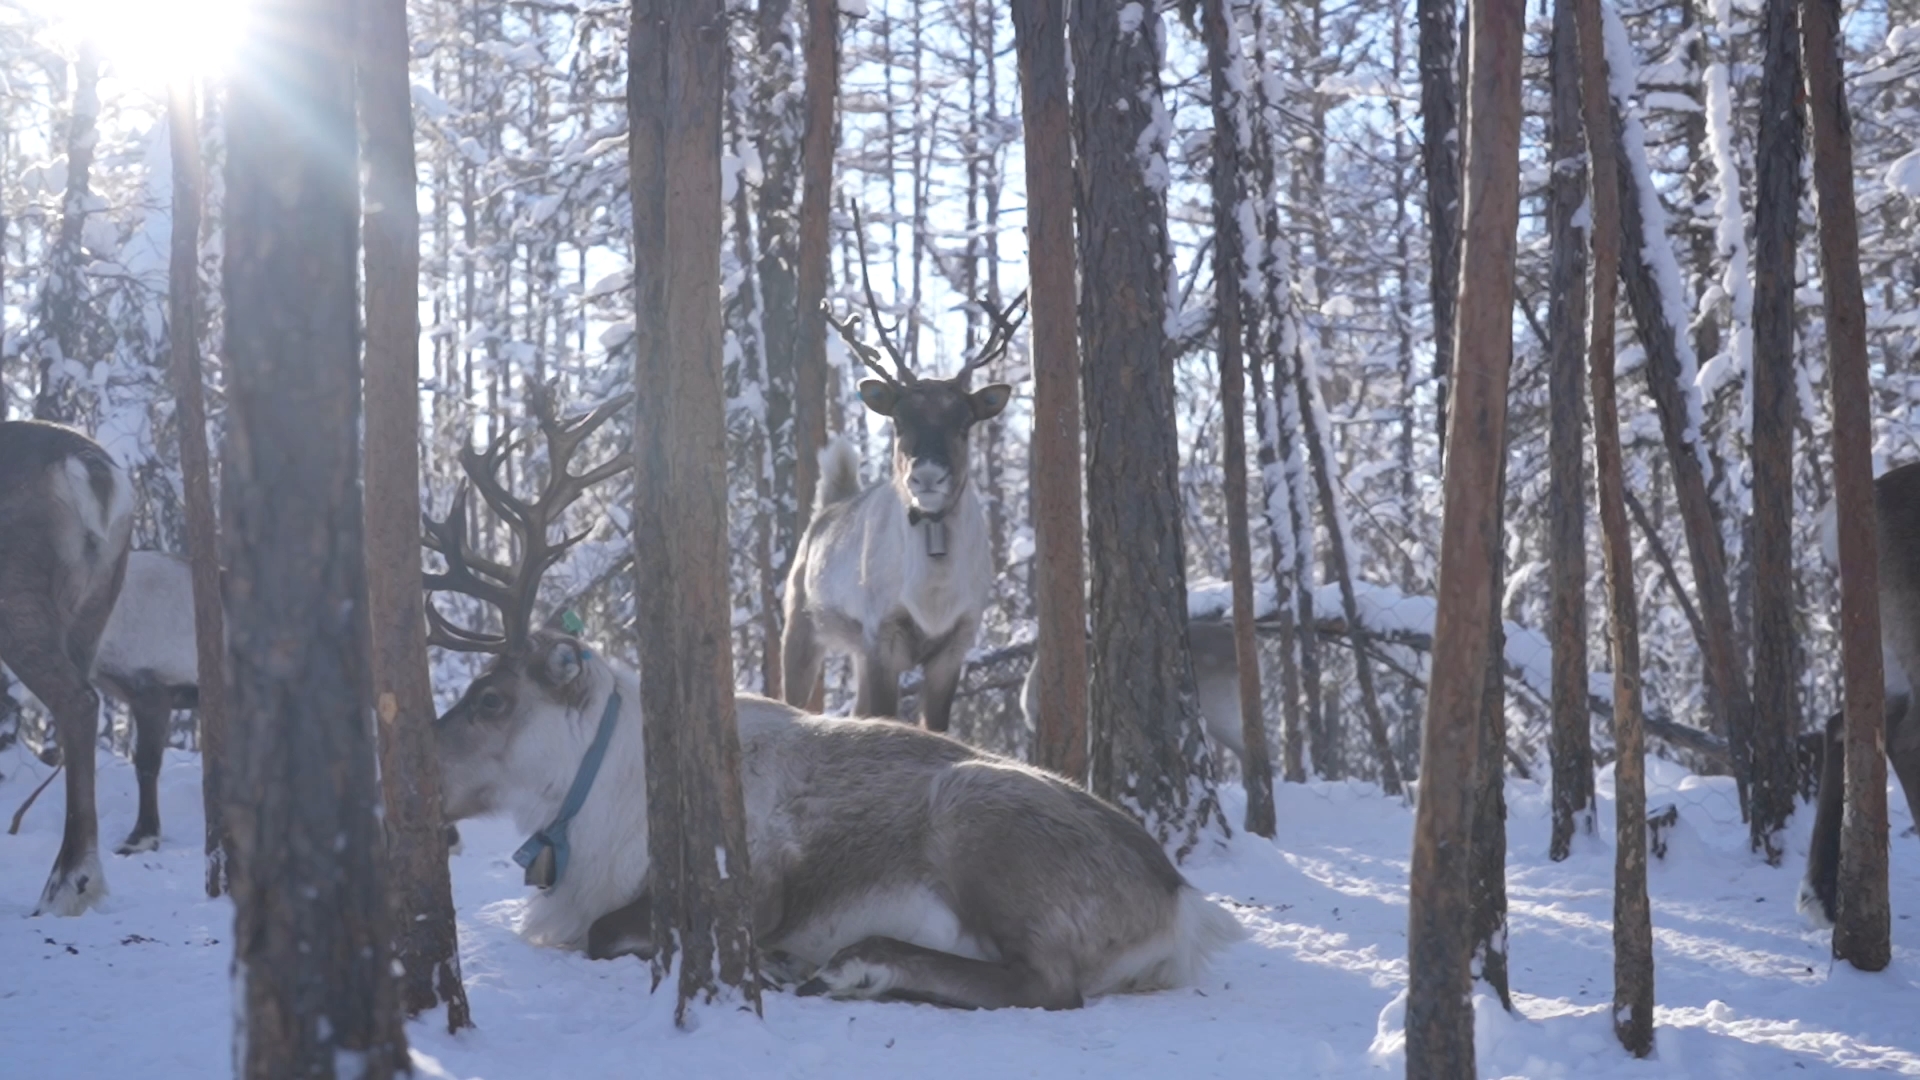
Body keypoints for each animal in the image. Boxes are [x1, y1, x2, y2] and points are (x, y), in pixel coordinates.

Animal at [424, 392, 1246, 1010]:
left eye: (492, 700)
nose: (418, 772)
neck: (598, 803)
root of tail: (1184, 906)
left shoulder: (751, 884)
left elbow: (607, 934)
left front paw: (769, 961)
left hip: (978, 819)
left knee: (1046, 984)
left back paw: (857, 965)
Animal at [781, 223, 1022, 733]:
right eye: (898, 420)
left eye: (963, 423)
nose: (927, 475)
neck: (932, 598)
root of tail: (828, 505)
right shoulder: (882, 635)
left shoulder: (956, 642)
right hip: (803, 623)